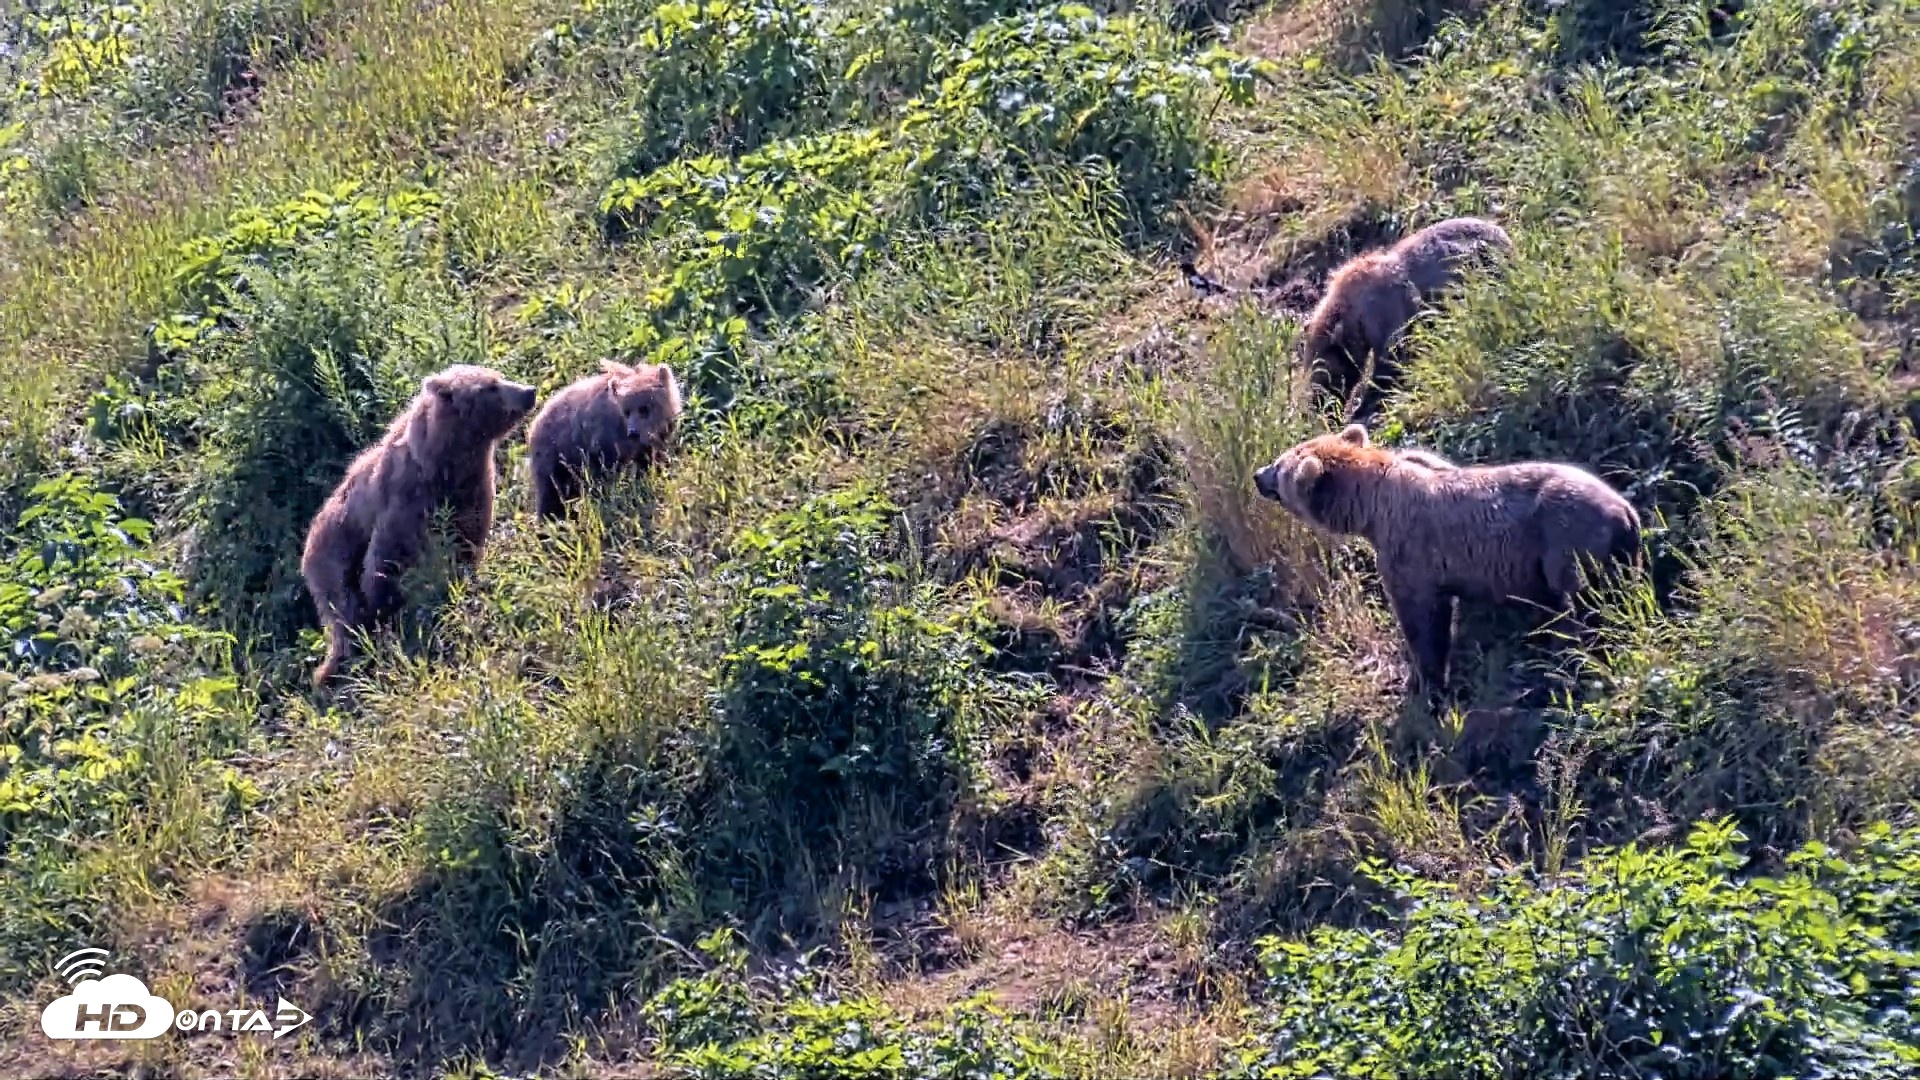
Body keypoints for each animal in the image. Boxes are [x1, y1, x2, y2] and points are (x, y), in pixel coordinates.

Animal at [301, 364, 538, 688]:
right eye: (490, 386)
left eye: (498, 376)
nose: (529, 391)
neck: (446, 461)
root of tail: (307, 540)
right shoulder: (406, 501)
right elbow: (385, 564)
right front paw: (392, 615)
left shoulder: (471, 491)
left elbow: (467, 542)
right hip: (333, 558)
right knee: (344, 611)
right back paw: (335, 667)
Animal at [526, 359, 683, 520]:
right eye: (627, 412)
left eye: (644, 408)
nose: (633, 432)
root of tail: (533, 423)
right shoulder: (604, 440)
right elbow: (608, 468)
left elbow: (650, 460)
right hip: (554, 455)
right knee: (551, 492)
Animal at [1253, 423, 1640, 698]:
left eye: (1281, 464)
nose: (1258, 474)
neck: (1372, 507)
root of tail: (1623, 511)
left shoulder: (1409, 551)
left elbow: (1423, 618)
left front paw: (1424, 682)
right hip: (1619, 553)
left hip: (1566, 539)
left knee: (1586, 601)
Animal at [1300, 216, 1513, 420]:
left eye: (1325, 373)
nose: (1320, 408)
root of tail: (1504, 235)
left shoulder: (1384, 308)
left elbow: (1392, 355)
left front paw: (1365, 404)